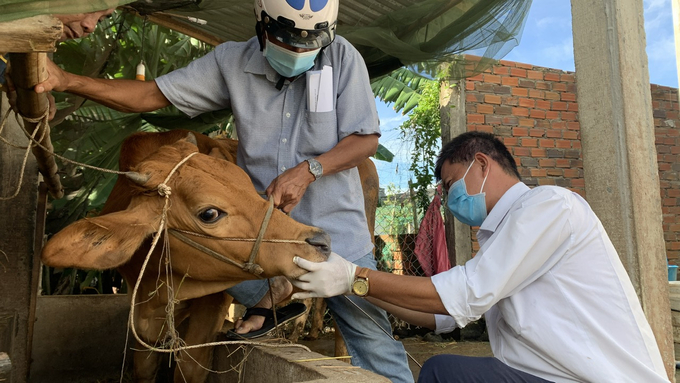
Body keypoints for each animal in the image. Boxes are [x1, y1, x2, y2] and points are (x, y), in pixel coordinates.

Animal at [39, 130, 332, 382]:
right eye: (209, 213)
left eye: (248, 185)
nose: (321, 241)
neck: (158, 288)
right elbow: (144, 367)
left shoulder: (211, 303)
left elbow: (190, 368)